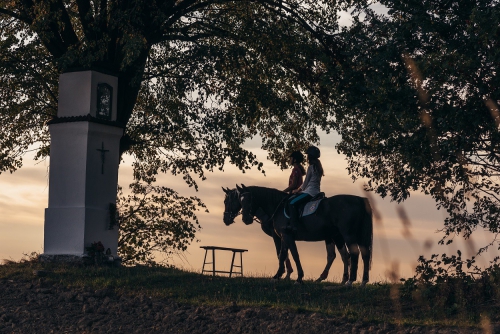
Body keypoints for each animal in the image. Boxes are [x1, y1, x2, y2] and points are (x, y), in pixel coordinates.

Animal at [223, 185, 372, 284]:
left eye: (249, 200)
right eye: (240, 200)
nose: (246, 219)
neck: (277, 207)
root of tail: (359, 199)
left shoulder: (285, 236)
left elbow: (293, 254)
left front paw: (298, 277)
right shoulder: (283, 236)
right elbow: (283, 254)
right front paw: (278, 275)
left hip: (347, 235)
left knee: (353, 253)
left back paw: (349, 281)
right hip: (347, 236)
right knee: (357, 254)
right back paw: (359, 281)